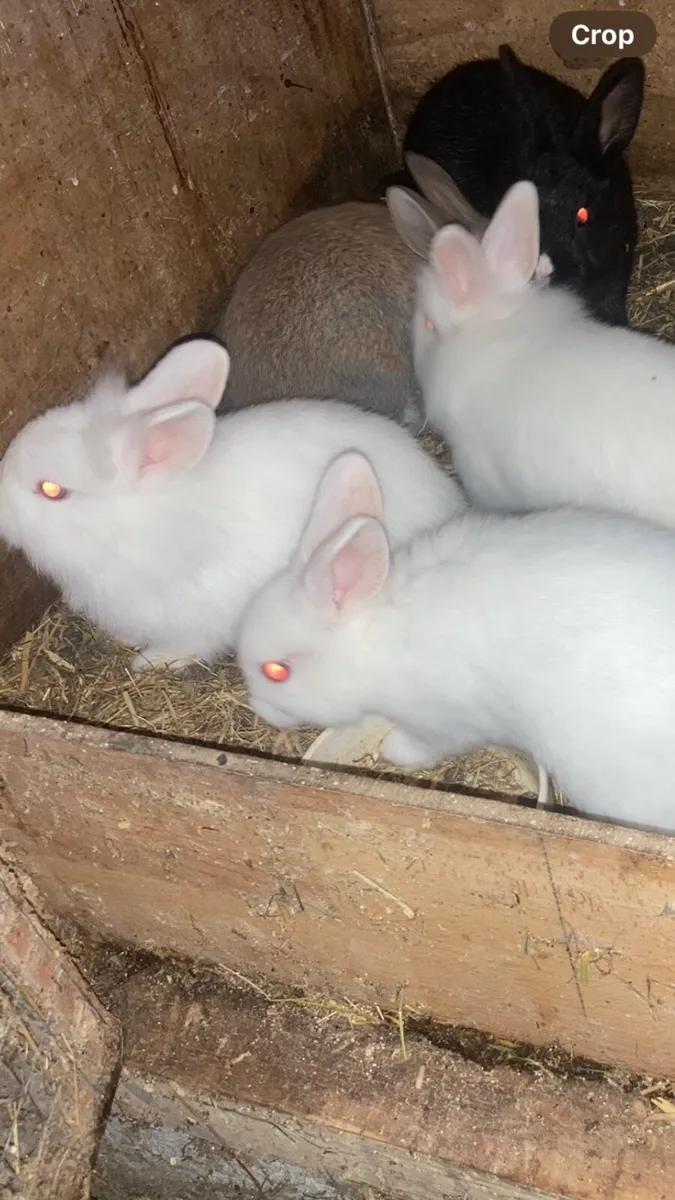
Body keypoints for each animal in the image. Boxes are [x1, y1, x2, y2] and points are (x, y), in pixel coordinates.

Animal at [0, 337, 465, 673]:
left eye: (52, 489)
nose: (1, 509)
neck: (136, 532)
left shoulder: (196, 617)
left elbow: (185, 645)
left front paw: (149, 661)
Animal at [237, 450, 675, 833]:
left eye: (277, 671)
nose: (260, 709)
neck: (375, 636)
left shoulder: (442, 721)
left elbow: (419, 744)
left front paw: (392, 751)